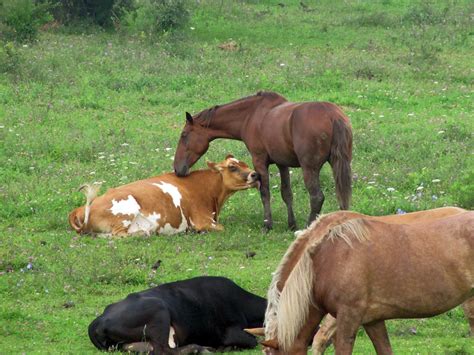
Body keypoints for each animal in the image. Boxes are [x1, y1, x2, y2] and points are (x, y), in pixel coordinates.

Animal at [68, 155, 258, 236]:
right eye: (233, 167)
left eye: (246, 164)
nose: (255, 175)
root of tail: (78, 210)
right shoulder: (203, 220)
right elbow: (220, 228)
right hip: (126, 212)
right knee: (119, 235)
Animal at [89, 276, 266, 354]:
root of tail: (98, 320)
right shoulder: (229, 331)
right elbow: (254, 341)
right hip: (159, 312)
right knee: (163, 351)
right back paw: (200, 349)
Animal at [174, 92, 352, 231]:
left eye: (184, 135)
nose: (177, 168)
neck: (251, 115)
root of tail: (333, 115)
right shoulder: (282, 164)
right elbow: (287, 194)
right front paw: (291, 224)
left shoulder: (259, 161)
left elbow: (264, 192)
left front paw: (267, 224)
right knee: (342, 194)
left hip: (309, 168)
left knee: (317, 197)